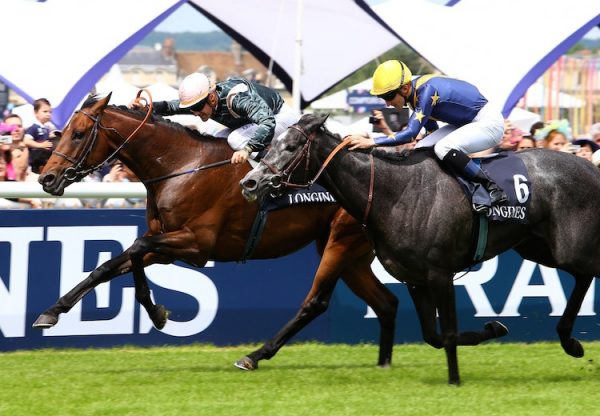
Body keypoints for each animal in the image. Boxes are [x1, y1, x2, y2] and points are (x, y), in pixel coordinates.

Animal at [31, 94, 398, 370]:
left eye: (78, 134)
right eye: (61, 131)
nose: (46, 178)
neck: (182, 166)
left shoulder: (197, 245)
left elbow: (136, 246)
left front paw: (157, 313)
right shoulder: (167, 246)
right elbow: (109, 266)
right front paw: (51, 312)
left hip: (340, 241)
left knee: (317, 301)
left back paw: (255, 355)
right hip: (351, 254)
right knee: (387, 302)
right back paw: (383, 363)